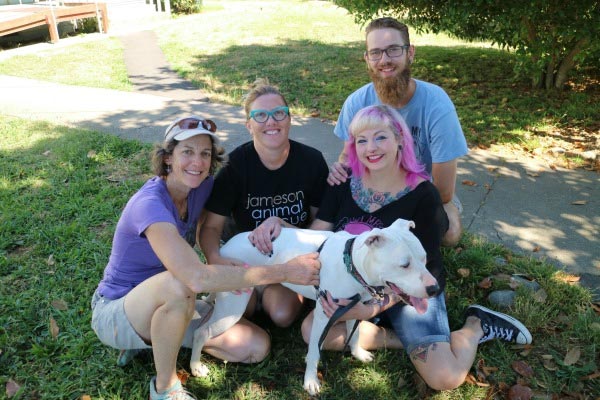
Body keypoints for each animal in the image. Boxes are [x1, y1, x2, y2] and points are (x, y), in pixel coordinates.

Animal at [192, 217, 440, 396]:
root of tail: (224, 248)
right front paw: (310, 381)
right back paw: (195, 366)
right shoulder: (323, 316)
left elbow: (355, 333)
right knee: (201, 331)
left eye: (424, 258)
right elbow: (314, 352)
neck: (351, 263)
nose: (435, 289)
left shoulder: (352, 307)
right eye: (404, 265)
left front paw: (358, 353)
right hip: (232, 309)